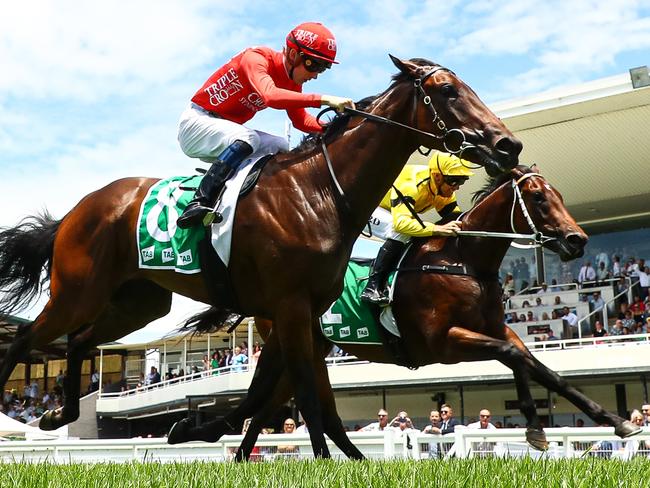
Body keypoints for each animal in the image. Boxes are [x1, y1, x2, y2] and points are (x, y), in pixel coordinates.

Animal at [0, 57, 520, 458]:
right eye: (447, 90)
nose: (507, 144)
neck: (320, 191)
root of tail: (78, 208)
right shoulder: (289, 306)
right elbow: (305, 392)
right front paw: (326, 462)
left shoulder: (302, 312)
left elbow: (268, 393)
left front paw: (194, 430)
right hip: (78, 290)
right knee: (26, 338)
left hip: (136, 303)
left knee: (79, 341)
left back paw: (58, 414)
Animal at [223, 166, 636, 460]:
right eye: (537, 197)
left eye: (559, 195)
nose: (576, 239)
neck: (463, 261)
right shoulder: (444, 343)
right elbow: (514, 357)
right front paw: (535, 428)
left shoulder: (497, 329)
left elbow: (544, 371)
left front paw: (616, 421)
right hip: (295, 341)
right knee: (278, 405)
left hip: (310, 347)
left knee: (279, 406)